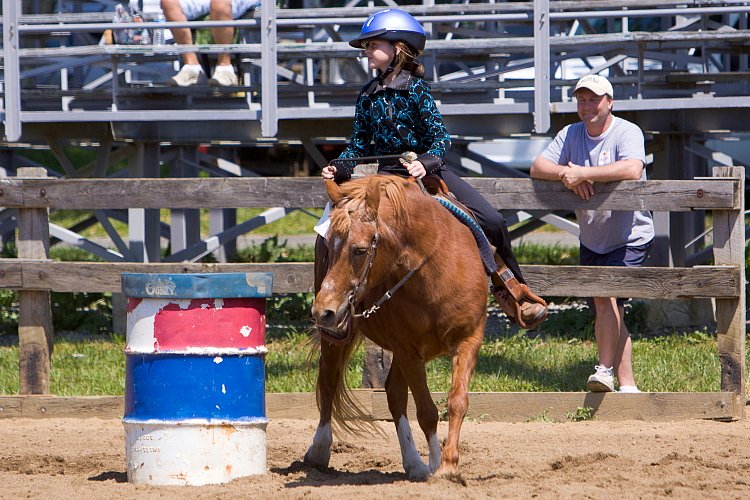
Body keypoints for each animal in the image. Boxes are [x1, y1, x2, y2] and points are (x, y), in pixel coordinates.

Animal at [306, 176, 490, 480]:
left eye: (360, 250)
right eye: (329, 249)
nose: (323, 311)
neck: (435, 273)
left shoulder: (468, 340)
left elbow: (457, 402)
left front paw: (449, 465)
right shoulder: (407, 351)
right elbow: (426, 412)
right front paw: (436, 464)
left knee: (393, 393)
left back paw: (413, 463)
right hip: (337, 338)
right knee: (329, 379)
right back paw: (319, 450)